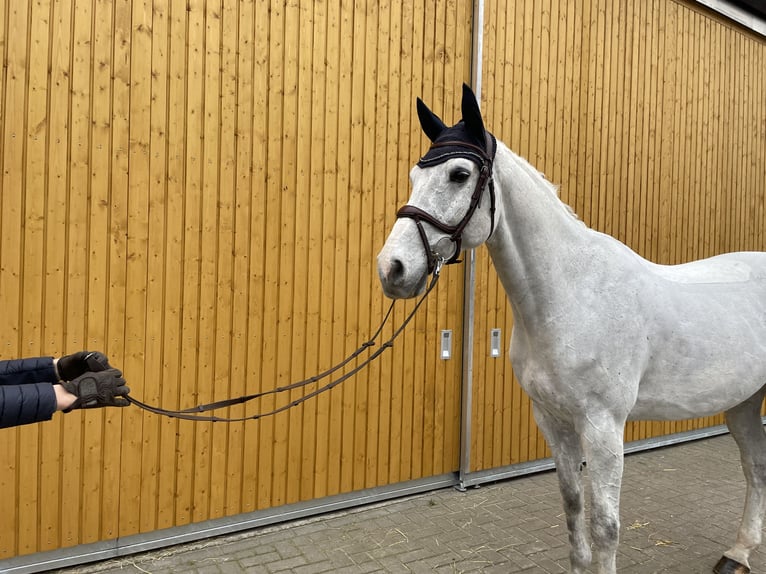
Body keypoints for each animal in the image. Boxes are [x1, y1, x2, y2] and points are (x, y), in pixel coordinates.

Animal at [377, 84, 766, 574]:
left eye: (459, 174)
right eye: (415, 175)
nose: (392, 268)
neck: (571, 295)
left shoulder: (603, 426)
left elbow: (605, 525)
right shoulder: (553, 420)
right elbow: (572, 505)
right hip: (744, 403)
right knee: (756, 467)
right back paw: (737, 553)